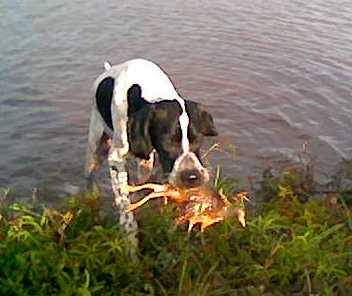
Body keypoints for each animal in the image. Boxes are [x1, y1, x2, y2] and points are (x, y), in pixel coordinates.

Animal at [85, 58, 217, 240]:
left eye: (198, 139)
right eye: (167, 141)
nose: (192, 177)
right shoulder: (116, 159)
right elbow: (125, 206)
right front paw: (130, 238)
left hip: (145, 162)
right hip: (96, 149)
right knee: (90, 174)